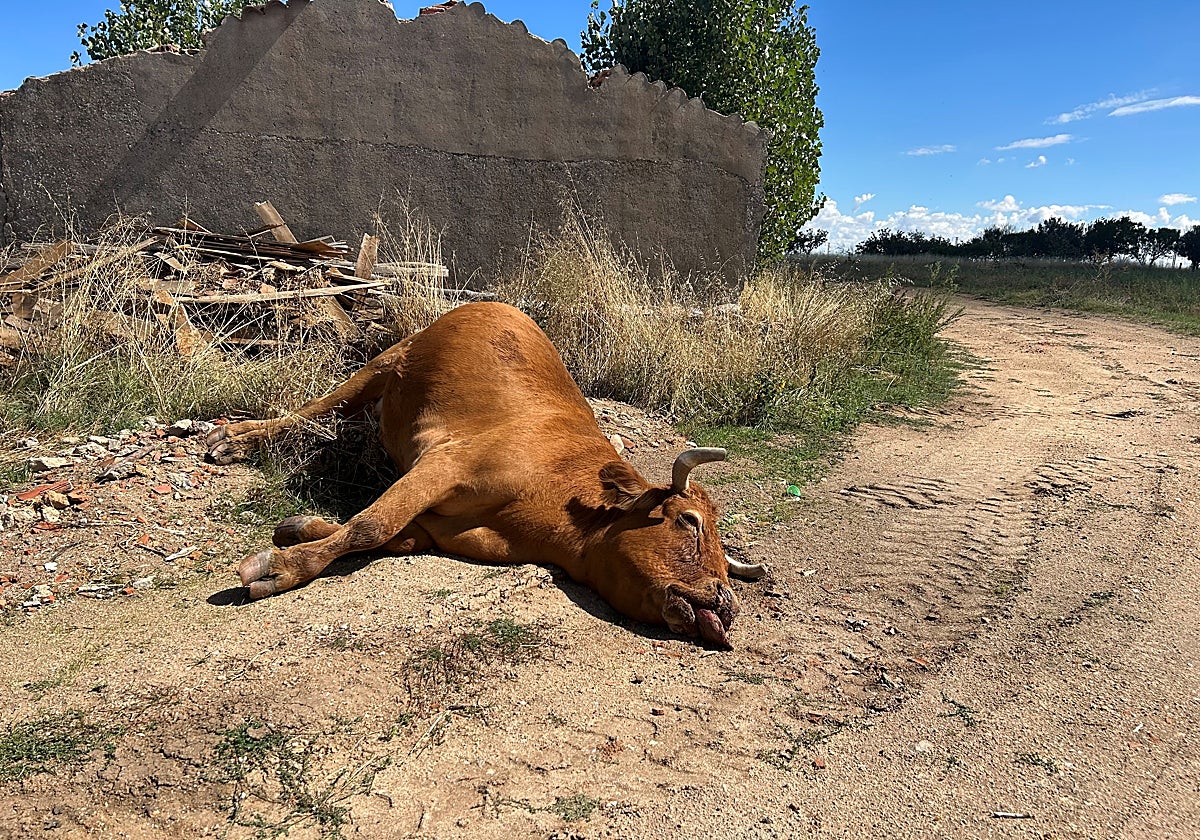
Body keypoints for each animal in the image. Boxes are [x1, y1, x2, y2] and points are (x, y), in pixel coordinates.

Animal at [206, 302, 766, 648]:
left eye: (726, 559)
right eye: (688, 521)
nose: (727, 602)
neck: (554, 501)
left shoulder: (438, 526)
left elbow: (385, 534)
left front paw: (301, 530)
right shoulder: (445, 463)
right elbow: (371, 525)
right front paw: (281, 568)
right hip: (385, 363)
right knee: (311, 410)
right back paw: (234, 439)